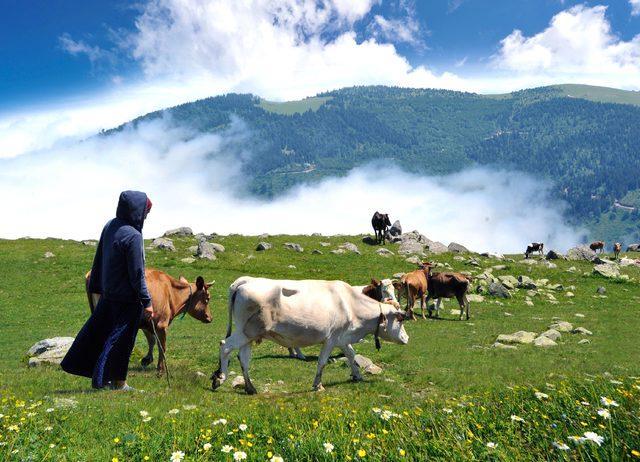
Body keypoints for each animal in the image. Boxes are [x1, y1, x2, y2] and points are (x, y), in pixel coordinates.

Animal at [85, 268, 214, 374]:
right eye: (207, 298)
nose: (210, 318)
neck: (171, 292)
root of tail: (90, 274)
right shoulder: (162, 324)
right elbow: (162, 347)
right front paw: (160, 370)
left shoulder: (147, 322)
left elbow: (152, 340)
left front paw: (147, 359)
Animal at [211, 276, 410, 396]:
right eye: (400, 319)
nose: (407, 339)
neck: (352, 305)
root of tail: (245, 280)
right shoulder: (331, 338)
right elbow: (322, 362)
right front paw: (318, 385)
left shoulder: (342, 338)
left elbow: (351, 355)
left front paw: (357, 375)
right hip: (246, 331)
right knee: (225, 345)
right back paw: (220, 378)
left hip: (248, 335)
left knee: (243, 358)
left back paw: (250, 387)